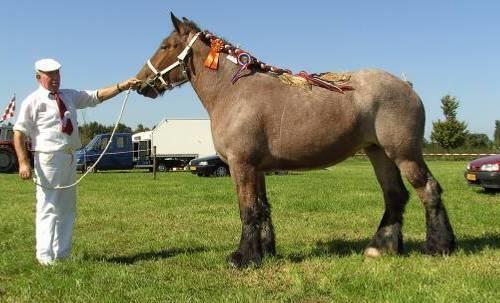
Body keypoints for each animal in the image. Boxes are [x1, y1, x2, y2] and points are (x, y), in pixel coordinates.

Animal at [135, 13, 456, 268]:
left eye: (165, 46)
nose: (140, 84)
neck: (233, 91)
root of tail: (406, 85)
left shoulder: (241, 165)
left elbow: (247, 209)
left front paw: (242, 258)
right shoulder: (257, 168)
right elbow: (262, 208)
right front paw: (264, 252)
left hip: (403, 153)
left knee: (427, 189)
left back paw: (438, 247)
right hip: (379, 153)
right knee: (395, 195)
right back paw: (381, 247)